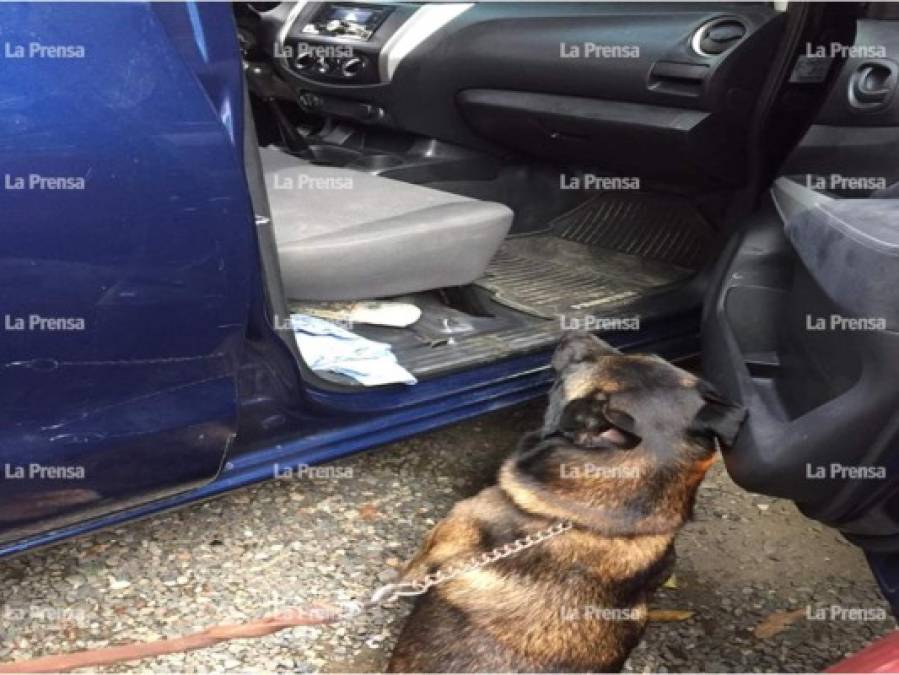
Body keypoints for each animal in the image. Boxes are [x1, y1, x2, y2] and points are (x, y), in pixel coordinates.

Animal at [388, 332, 744, 672]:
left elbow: (407, 575)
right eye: (645, 354)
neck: (587, 520)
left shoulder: (440, 540)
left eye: (581, 364)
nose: (573, 332)